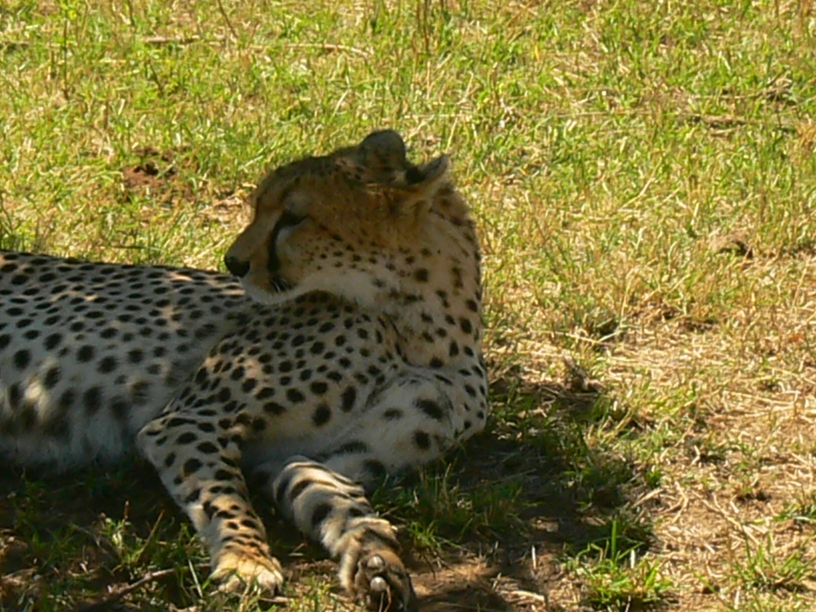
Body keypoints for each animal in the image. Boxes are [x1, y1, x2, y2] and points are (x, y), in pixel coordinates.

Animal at [0, 130, 488, 611]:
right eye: (259, 207)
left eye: (294, 216)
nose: (233, 263)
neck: (423, 331)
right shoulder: (186, 420)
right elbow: (223, 496)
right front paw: (247, 561)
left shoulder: (299, 457)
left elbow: (335, 500)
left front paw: (373, 560)